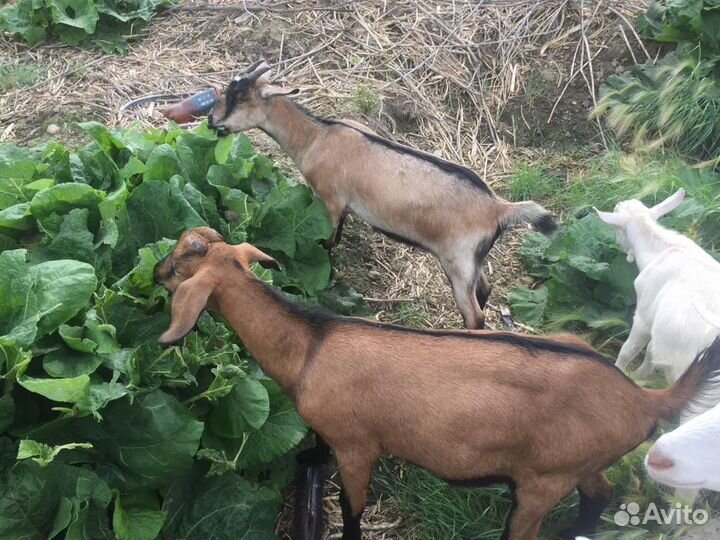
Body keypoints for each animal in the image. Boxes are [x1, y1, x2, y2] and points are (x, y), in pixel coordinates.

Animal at [154, 226, 720, 540]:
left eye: (181, 265)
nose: (155, 271)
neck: (310, 347)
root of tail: (643, 398)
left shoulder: (357, 446)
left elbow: (354, 511)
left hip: (544, 481)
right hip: (578, 464)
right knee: (600, 493)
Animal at [207, 61, 557, 329]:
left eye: (240, 97)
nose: (212, 120)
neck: (318, 136)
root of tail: (499, 208)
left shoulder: (329, 200)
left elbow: (328, 243)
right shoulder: (343, 206)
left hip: (458, 262)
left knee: (475, 316)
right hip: (474, 262)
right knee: (484, 289)